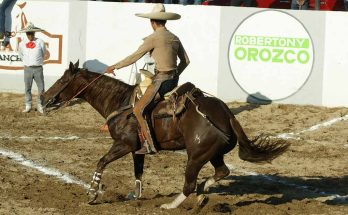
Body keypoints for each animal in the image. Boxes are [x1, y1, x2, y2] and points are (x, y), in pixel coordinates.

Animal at [41, 61, 290, 209]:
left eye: (62, 80)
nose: (43, 97)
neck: (121, 103)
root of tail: (227, 113)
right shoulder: (137, 149)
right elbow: (138, 172)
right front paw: (136, 196)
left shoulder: (123, 144)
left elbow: (101, 162)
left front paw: (92, 194)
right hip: (212, 153)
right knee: (221, 171)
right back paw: (202, 193)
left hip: (196, 156)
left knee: (190, 184)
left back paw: (172, 205)